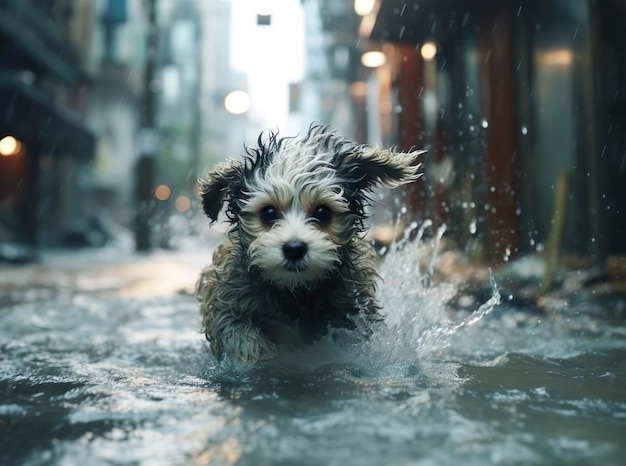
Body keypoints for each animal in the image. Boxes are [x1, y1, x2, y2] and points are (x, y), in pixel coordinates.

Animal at [194, 125, 420, 366]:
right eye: (268, 212)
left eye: (322, 212)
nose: (294, 248)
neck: (295, 292)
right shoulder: (230, 297)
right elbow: (236, 330)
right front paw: (258, 355)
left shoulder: (353, 304)